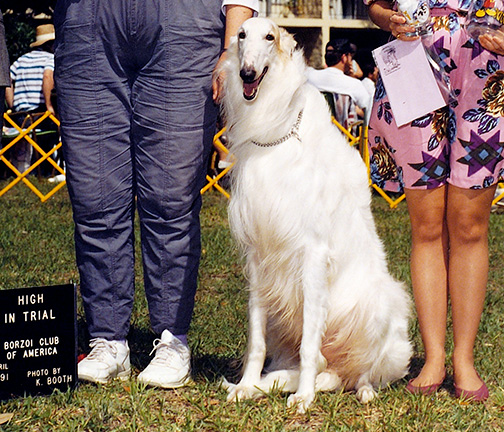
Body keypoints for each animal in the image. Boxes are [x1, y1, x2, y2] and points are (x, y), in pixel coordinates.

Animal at [220, 17, 414, 416]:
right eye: (241, 35)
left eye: (270, 37)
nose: (248, 73)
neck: (275, 134)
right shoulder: (259, 256)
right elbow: (256, 341)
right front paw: (245, 386)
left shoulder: (312, 254)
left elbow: (310, 343)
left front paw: (304, 396)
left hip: (379, 303)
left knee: (363, 371)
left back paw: (359, 390)